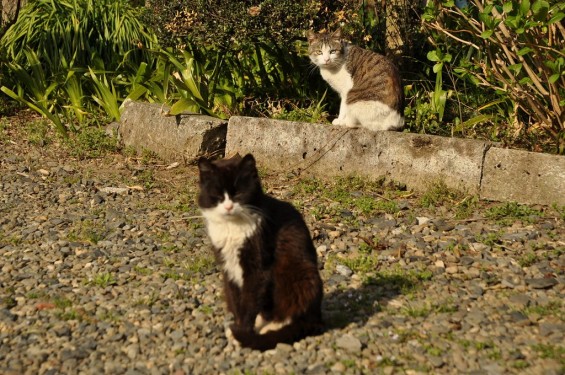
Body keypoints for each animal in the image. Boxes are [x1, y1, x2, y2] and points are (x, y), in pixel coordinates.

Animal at [197, 153, 322, 352]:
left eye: (238, 194)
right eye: (217, 195)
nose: (228, 207)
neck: (232, 227)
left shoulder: (257, 266)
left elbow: (249, 302)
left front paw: (242, 333)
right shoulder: (228, 267)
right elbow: (237, 300)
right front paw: (239, 329)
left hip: (301, 273)